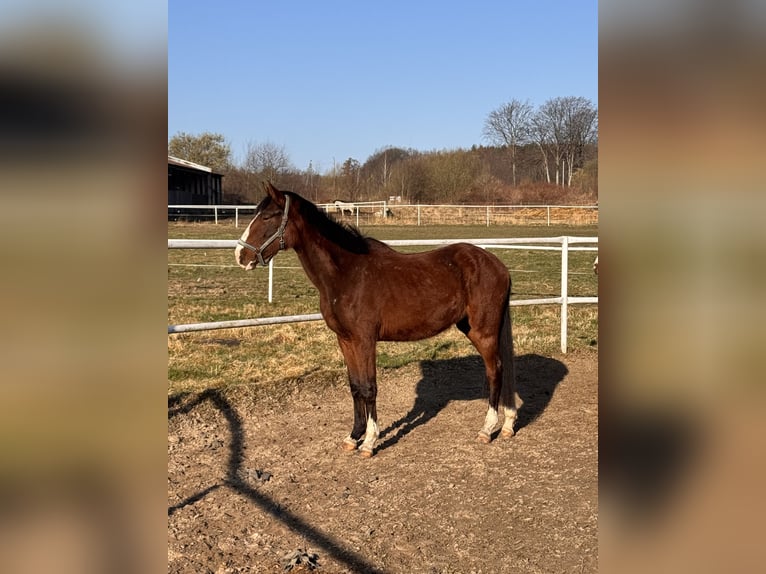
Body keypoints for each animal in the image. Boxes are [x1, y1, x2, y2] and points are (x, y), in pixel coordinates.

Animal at [235, 182, 517, 457]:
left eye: (268, 216)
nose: (240, 256)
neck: (347, 274)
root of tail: (498, 265)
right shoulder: (345, 340)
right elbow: (355, 386)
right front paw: (353, 437)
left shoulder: (365, 340)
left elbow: (369, 387)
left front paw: (370, 441)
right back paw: (508, 425)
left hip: (484, 331)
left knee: (495, 370)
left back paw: (488, 428)